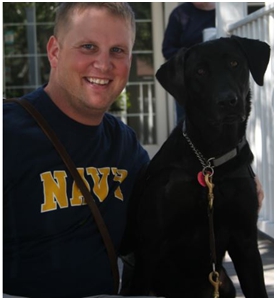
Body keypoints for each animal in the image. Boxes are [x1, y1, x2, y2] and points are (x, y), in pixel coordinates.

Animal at [121, 37, 270, 298]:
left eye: (234, 63)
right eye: (200, 72)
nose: (227, 101)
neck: (211, 157)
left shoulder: (245, 239)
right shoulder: (151, 244)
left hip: (224, 283)